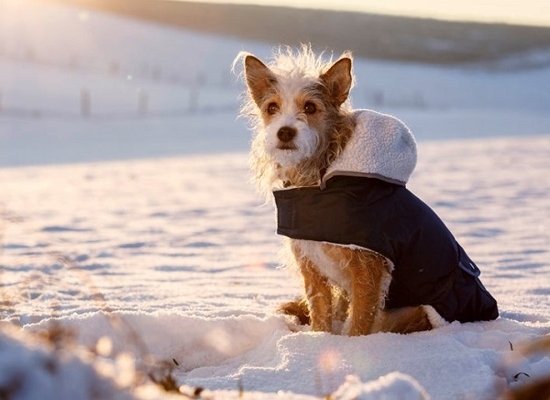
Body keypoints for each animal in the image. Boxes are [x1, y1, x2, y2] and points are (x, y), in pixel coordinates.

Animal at [233, 45, 500, 336]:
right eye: (272, 107)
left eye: (310, 107)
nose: (284, 132)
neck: (318, 180)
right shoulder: (311, 264)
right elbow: (320, 311)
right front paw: (316, 340)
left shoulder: (368, 267)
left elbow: (361, 319)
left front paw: (353, 344)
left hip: (417, 312)